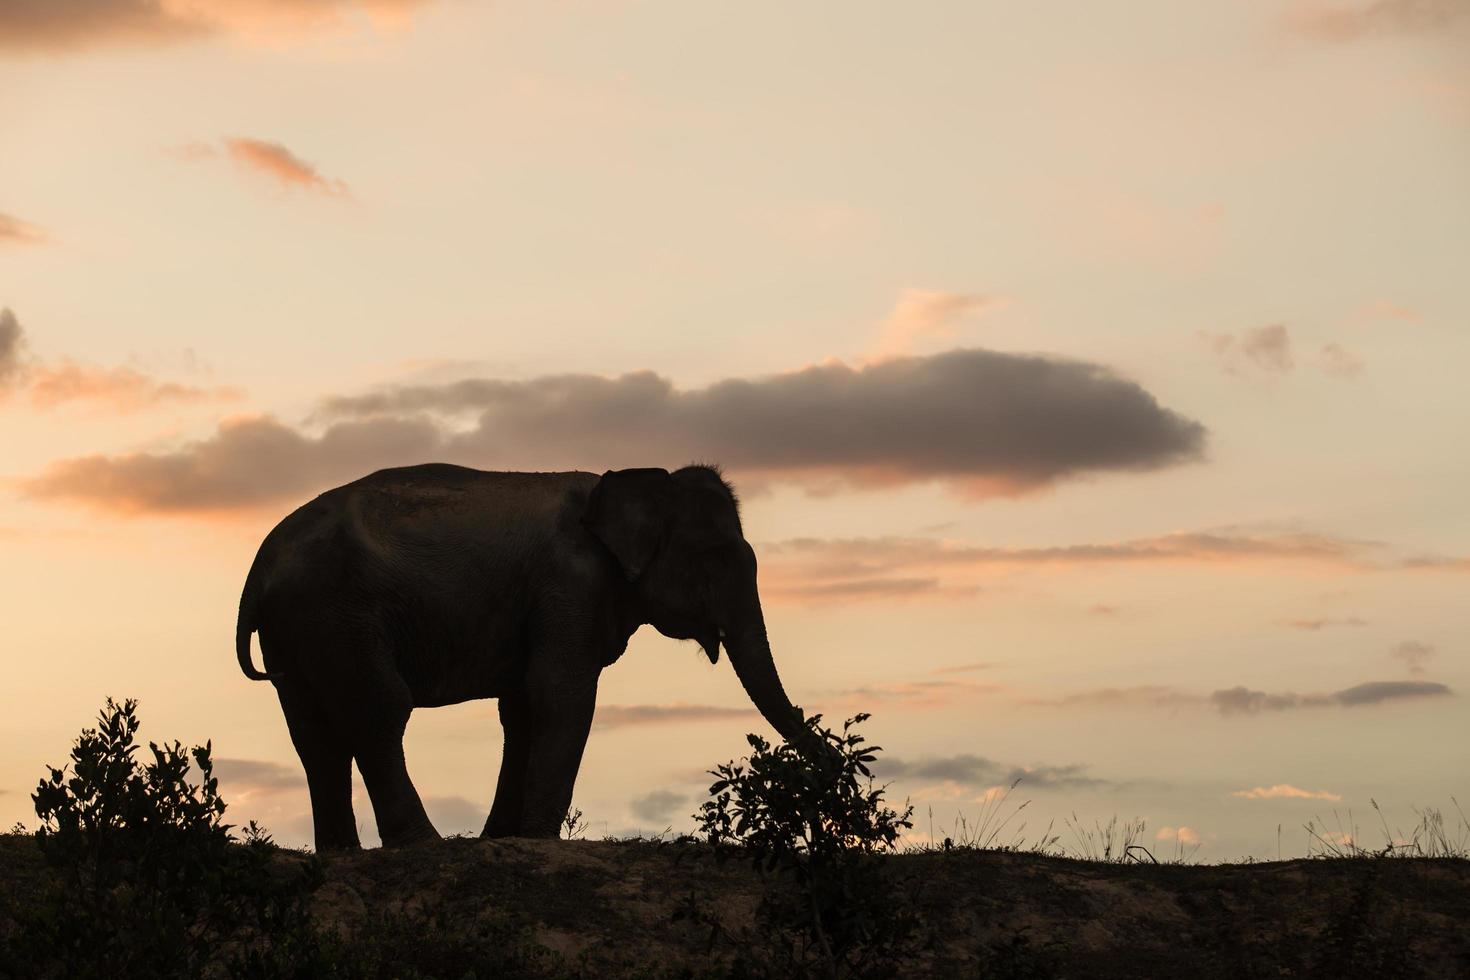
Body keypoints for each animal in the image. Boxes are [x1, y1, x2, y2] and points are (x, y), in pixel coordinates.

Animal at [235, 464, 805, 846]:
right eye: (715, 560)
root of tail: (259, 567)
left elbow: (523, 708)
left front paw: (504, 839)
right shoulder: (570, 584)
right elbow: (561, 695)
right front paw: (537, 840)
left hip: (298, 632)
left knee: (313, 735)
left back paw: (342, 853)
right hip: (340, 614)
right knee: (380, 711)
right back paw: (423, 843)